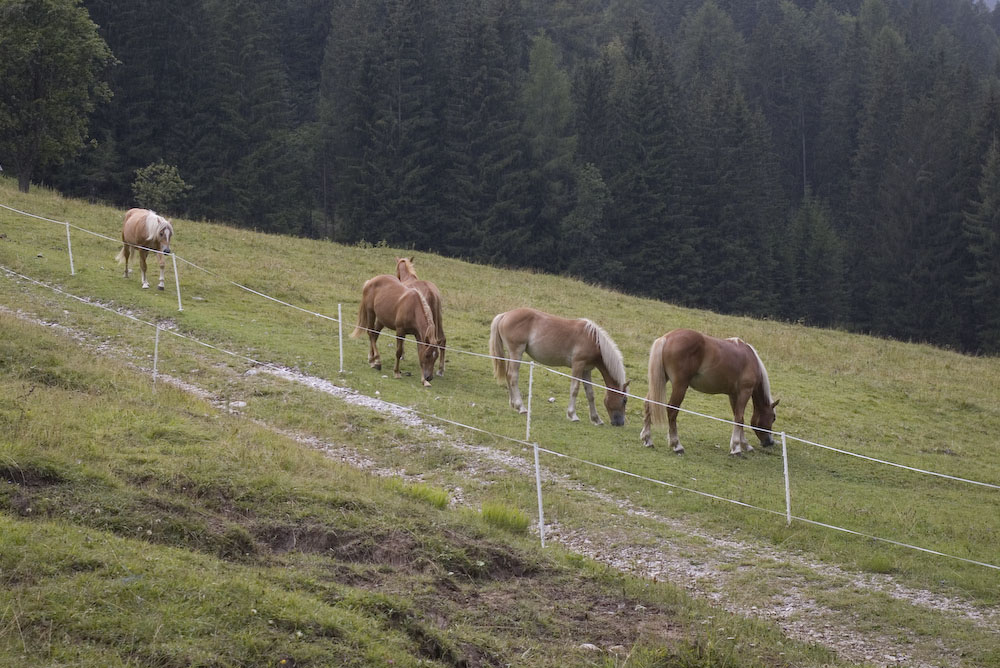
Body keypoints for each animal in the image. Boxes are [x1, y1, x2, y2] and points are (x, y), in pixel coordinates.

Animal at [488, 306, 628, 426]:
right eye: (625, 400)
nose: (620, 423)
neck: (594, 340)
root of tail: (505, 315)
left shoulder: (586, 370)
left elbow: (590, 394)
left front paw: (596, 419)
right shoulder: (578, 365)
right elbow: (575, 389)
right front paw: (573, 415)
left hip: (511, 354)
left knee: (508, 375)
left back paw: (513, 404)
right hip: (517, 352)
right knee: (513, 376)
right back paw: (521, 407)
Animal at [640, 328, 780, 454]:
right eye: (773, 418)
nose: (769, 442)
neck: (750, 359)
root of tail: (666, 338)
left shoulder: (734, 395)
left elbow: (739, 418)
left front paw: (744, 445)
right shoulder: (745, 392)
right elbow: (739, 418)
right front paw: (736, 448)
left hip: (662, 379)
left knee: (648, 403)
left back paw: (648, 440)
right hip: (680, 386)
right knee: (672, 410)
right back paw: (677, 445)